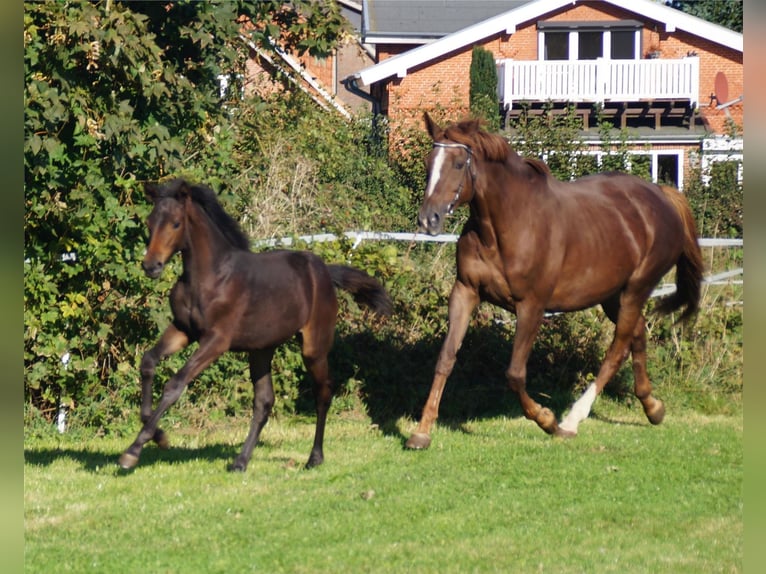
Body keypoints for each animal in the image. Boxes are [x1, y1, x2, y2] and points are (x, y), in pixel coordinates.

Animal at [124, 180, 396, 472]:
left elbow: (175, 384)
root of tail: (324, 271)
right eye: (150, 222)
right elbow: (148, 362)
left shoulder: (216, 341)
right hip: (261, 350)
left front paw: (133, 450)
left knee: (323, 392)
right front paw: (159, 436)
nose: (151, 266)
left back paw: (314, 458)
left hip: (313, 348)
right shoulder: (183, 330)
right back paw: (240, 461)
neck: (211, 278)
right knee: (264, 401)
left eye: (175, 224)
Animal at [412, 115, 704, 452]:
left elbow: (515, 374)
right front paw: (421, 431)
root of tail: (661, 194)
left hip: (637, 288)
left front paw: (547, 420)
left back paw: (572, 419)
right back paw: (652, 407)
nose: (428, 219)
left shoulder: (532, 307)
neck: (505, 226)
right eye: (428, 162)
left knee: (617, 349)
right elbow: (446, 358)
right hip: (612, 295)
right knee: (638, 334)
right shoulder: (465, 292)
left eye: (459, 164)